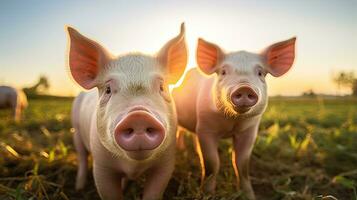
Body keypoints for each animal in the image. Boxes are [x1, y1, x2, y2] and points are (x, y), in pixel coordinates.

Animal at [68, 23, 188, 200]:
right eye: (108, 89)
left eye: (162, 87)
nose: (139, 115)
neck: (134, 166)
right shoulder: (102, 166)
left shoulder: (165, 164)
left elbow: (154, 192)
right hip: (76, 130)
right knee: (82, 157)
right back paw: (79, 187)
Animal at [172, 37, 294, 198]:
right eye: (223, 72)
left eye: (260, 73)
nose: (244, 87)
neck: (232, 121)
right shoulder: (205, 129)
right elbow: (212, 163)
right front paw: (207, 194)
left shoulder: (249, 131)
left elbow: (242, 164)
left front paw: (249, 196)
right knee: (180, 131)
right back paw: (181, 150)